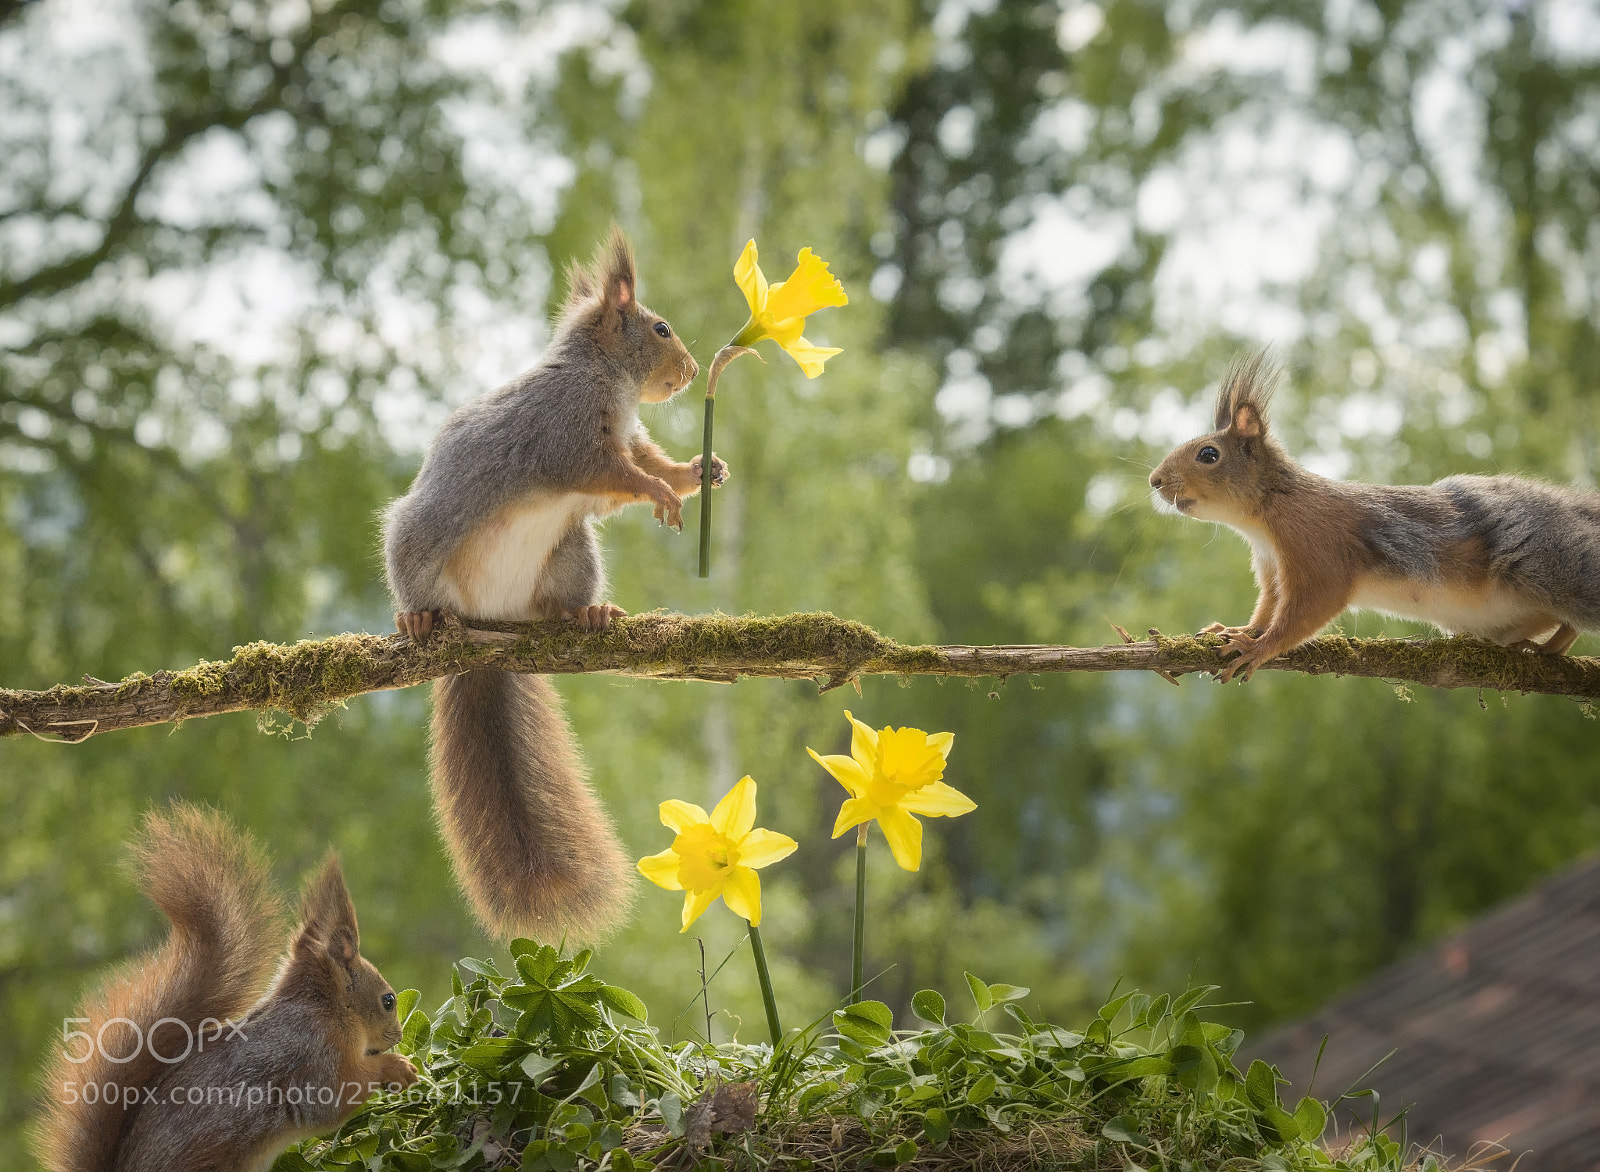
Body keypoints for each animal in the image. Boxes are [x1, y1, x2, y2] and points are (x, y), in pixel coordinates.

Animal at [36, 804, 418, 1172]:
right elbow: (329, 1100)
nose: (398, 1035)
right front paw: (396, 1067)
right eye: (388, 1001)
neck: (327, 1009)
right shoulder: (313, 1050)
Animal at [381, 227, 726, 941]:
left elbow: (646, 465)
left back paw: (585, 616)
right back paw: (417, 618)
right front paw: (663, 493)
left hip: (570, 551)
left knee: (559, 597)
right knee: (414, 578)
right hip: (417, 538)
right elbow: (618, 473)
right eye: (660, 328)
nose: (688, 371)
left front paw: (695, 472)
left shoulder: (624, 440)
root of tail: (488, 619)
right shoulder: (568, 441)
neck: (601, 378)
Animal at [1149, 351, 1600, 682]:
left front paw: (1257, 648)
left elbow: (1309, 606)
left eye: (1209, 454)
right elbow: (1268, 607)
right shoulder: (1272, 565)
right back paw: (1543, 647)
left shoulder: (1316, 546)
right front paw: (1238, 630)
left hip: (1552, 568)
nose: (1155, 481)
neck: (1268, 514)